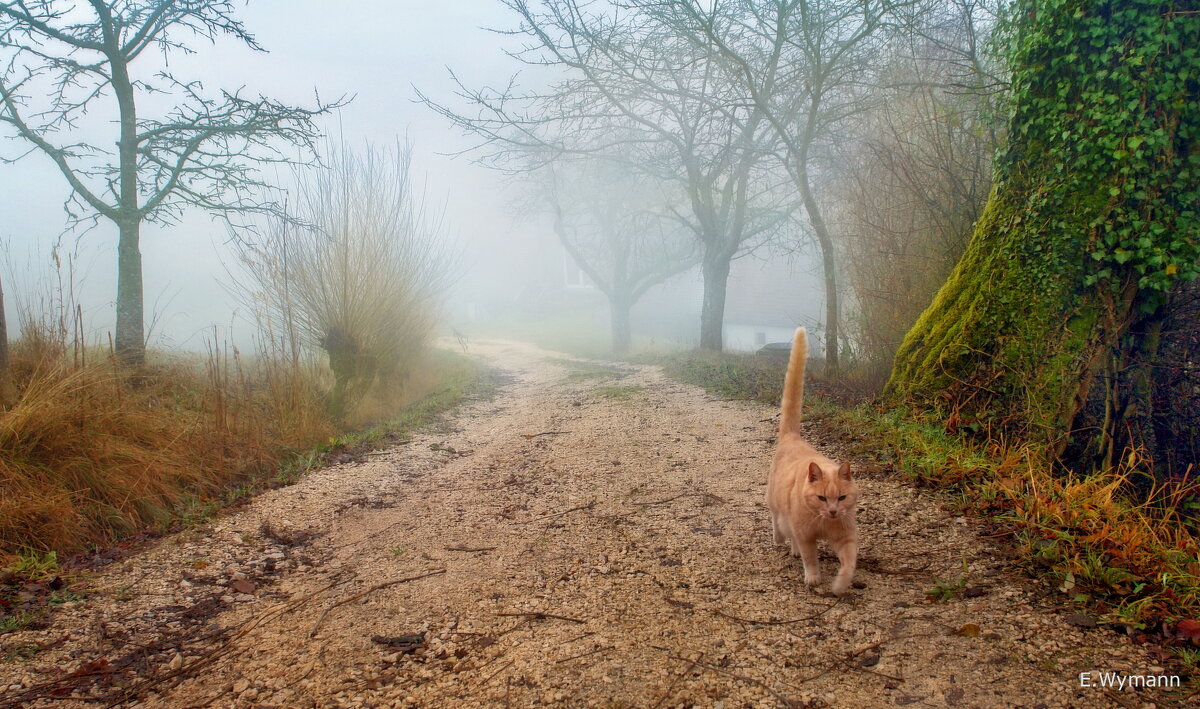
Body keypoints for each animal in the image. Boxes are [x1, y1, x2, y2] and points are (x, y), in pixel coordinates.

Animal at [763, 331, 859, 597]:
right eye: (821, 498)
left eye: (842, 498)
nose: (834, 510)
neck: (825, 522)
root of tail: (792, 437)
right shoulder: (806, 535)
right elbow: (810, 558)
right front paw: (814, 578)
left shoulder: (846, 537)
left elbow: (849, 563)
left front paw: (840, 585)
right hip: (776, 504)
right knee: (777, 522)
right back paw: (779, 540)